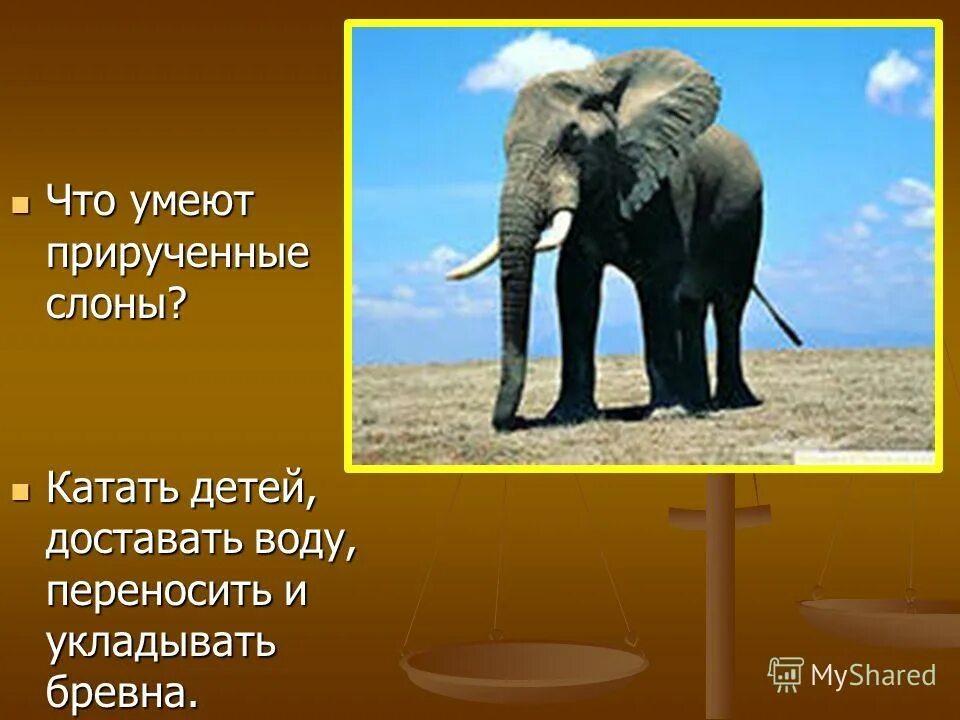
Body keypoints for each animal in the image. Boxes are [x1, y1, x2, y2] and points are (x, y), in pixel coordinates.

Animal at [446, 49, 801, 431]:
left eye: (572, 139)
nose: (511, 421)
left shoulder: (666, 186)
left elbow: (656, 284)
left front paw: (666, 413)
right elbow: (574, 287)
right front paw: (569, 415)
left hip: (747, 219)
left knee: (729, 304)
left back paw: (730, 401)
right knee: (690, 305)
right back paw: (698, 401)